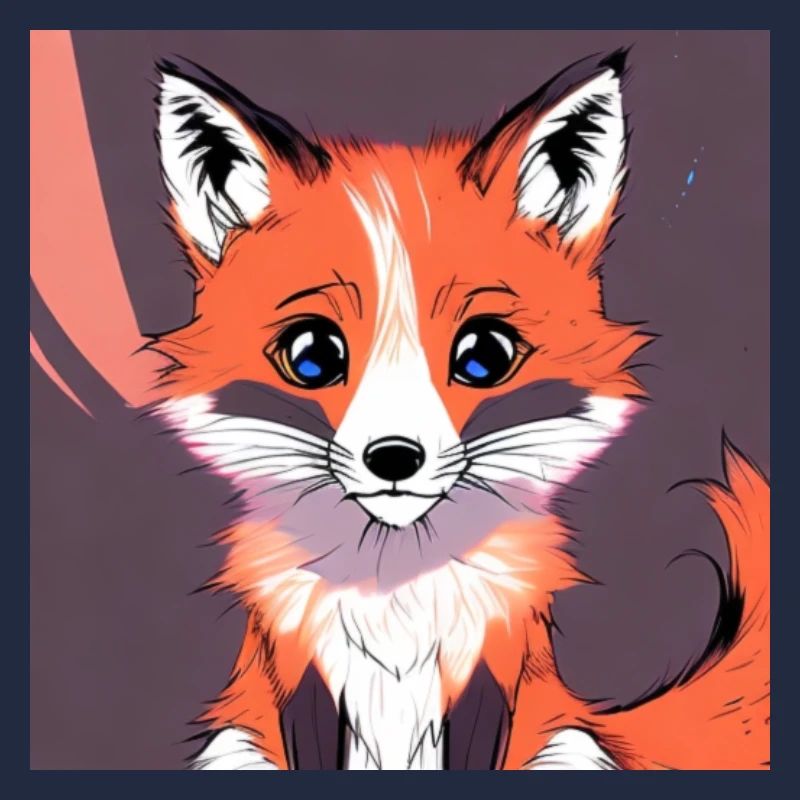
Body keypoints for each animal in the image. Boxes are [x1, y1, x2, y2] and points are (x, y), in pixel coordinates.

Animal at [119, 49, 775, 770]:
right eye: (313, 355)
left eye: (484, 354)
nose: (394, 458)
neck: (394, 593)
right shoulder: (302, 674)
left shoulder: (490, 671)